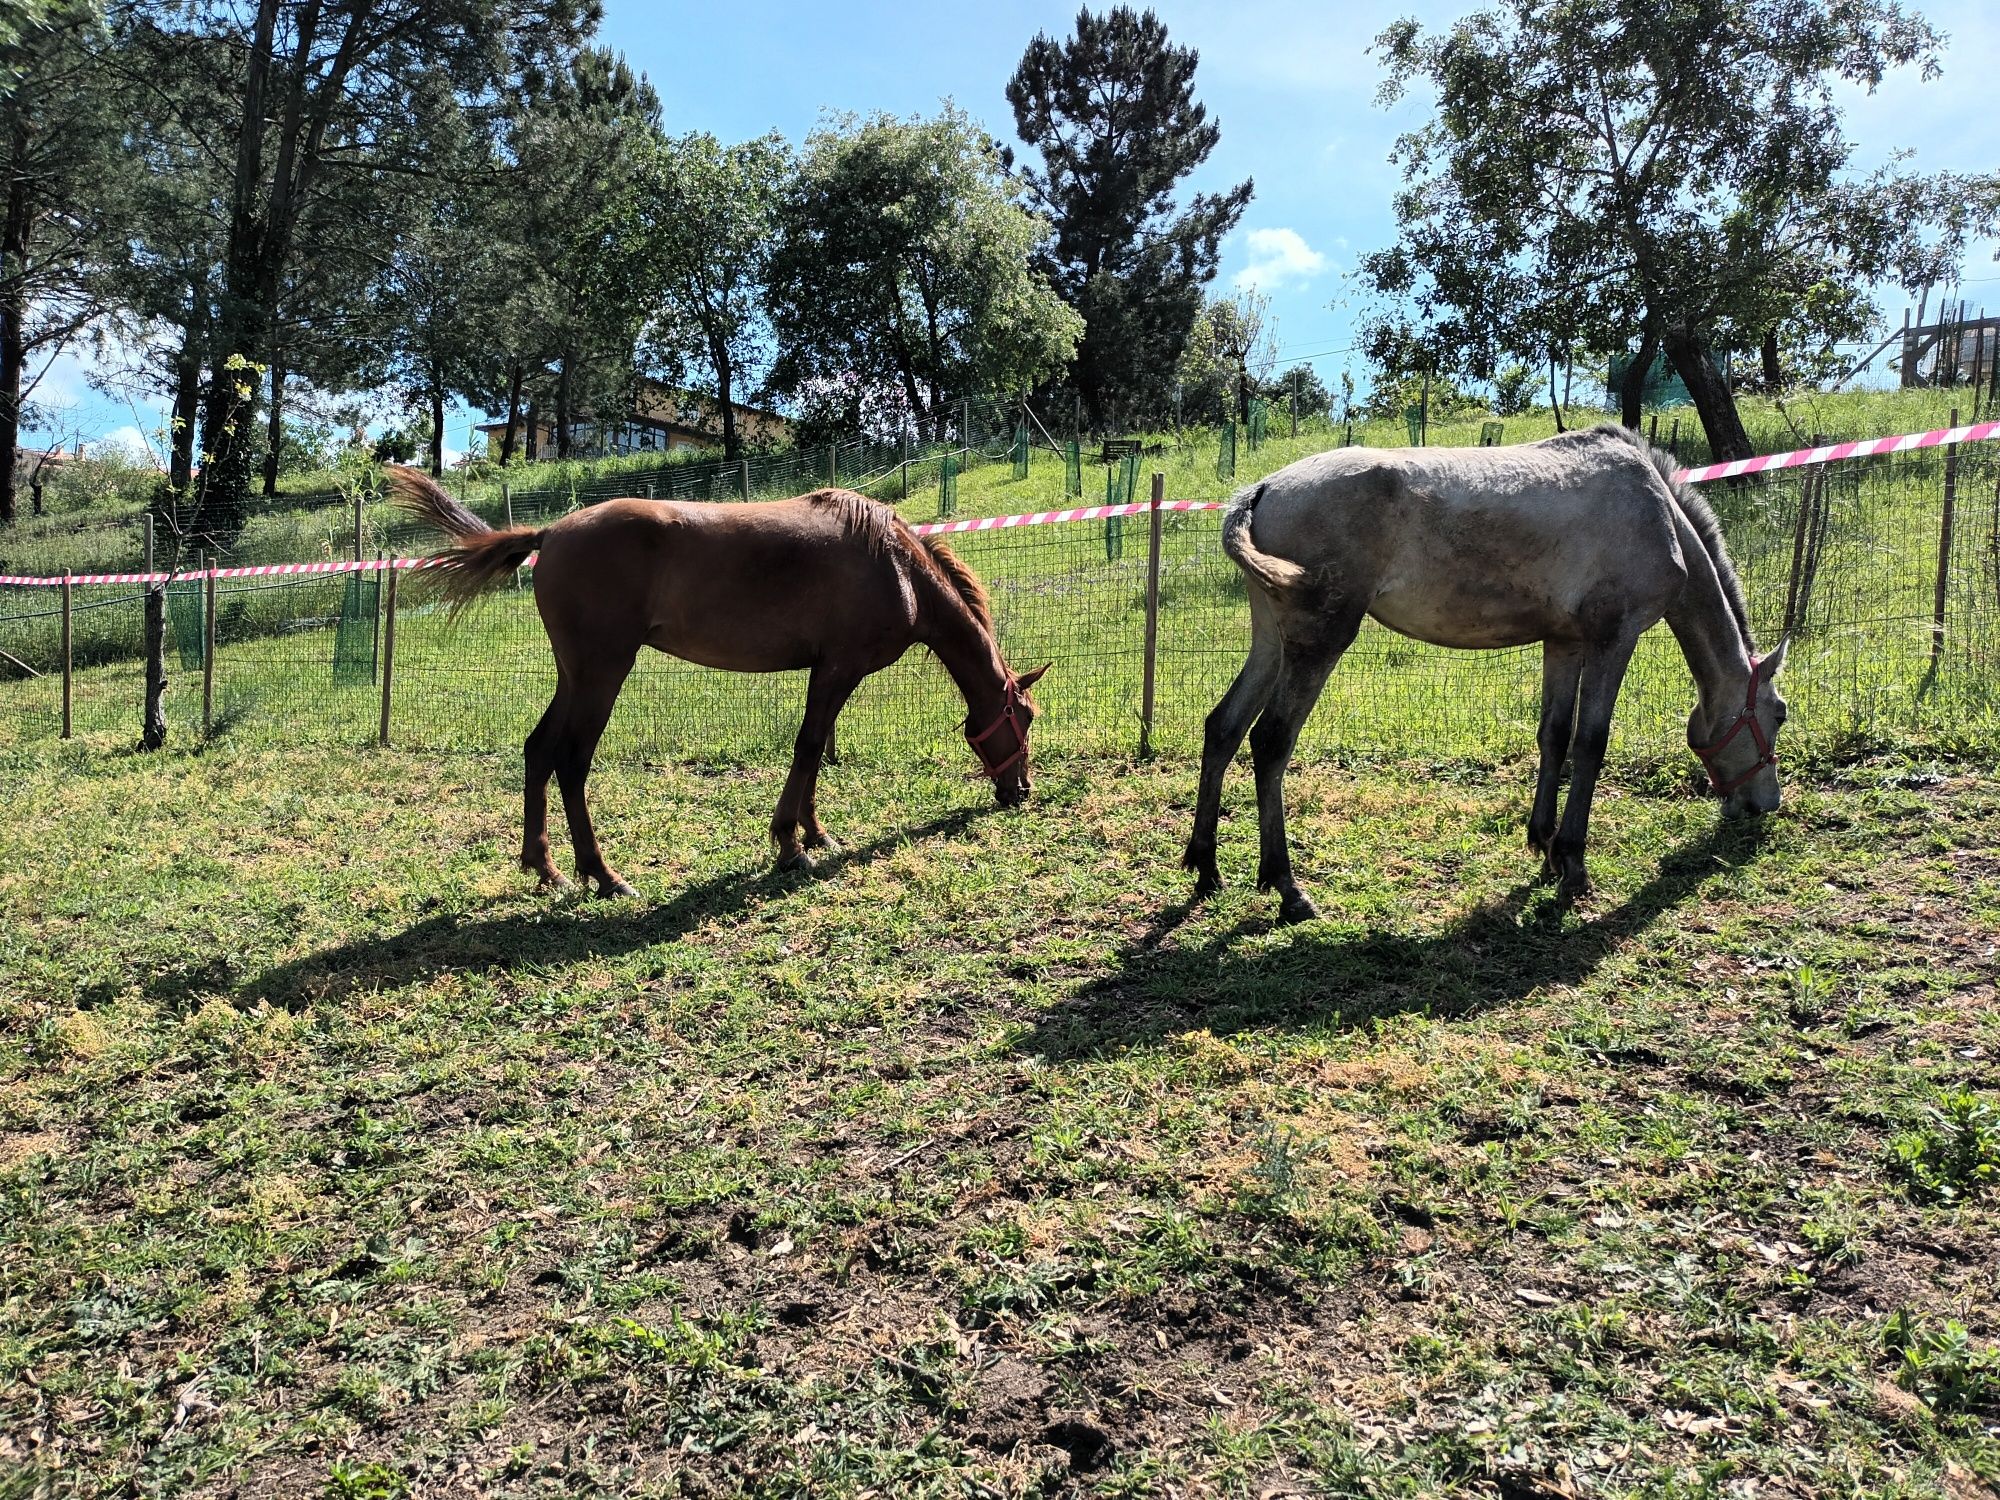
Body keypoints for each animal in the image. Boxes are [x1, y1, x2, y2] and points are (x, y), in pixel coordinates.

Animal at [386, 472, 1048, 892]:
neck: (893, 561)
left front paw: (814, 834)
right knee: (571, 761)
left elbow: (815, 750)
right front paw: (789, 845)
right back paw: (603, 876)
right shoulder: (838, 668)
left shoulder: (832, 672)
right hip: (602, 673)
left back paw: (545, 868)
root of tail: (550, 533)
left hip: (574, 676)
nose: (1021, 791)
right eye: (1026, 718)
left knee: (538, 750)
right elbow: (808, 746)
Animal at [1176, 418, 1792, 924]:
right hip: (1319, 641)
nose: (1765, 804)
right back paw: (1287, 887)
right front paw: (1572, 866)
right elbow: (1591, 742)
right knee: (1270, 742)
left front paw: (1543, 847)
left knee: (1223, 727)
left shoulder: (1564, 642)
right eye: (1779, 714)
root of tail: (1264, 488)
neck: (1656, 508)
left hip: (1272, 641)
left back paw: (1205, 866)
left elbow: (1554, 736)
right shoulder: (1613, 638)